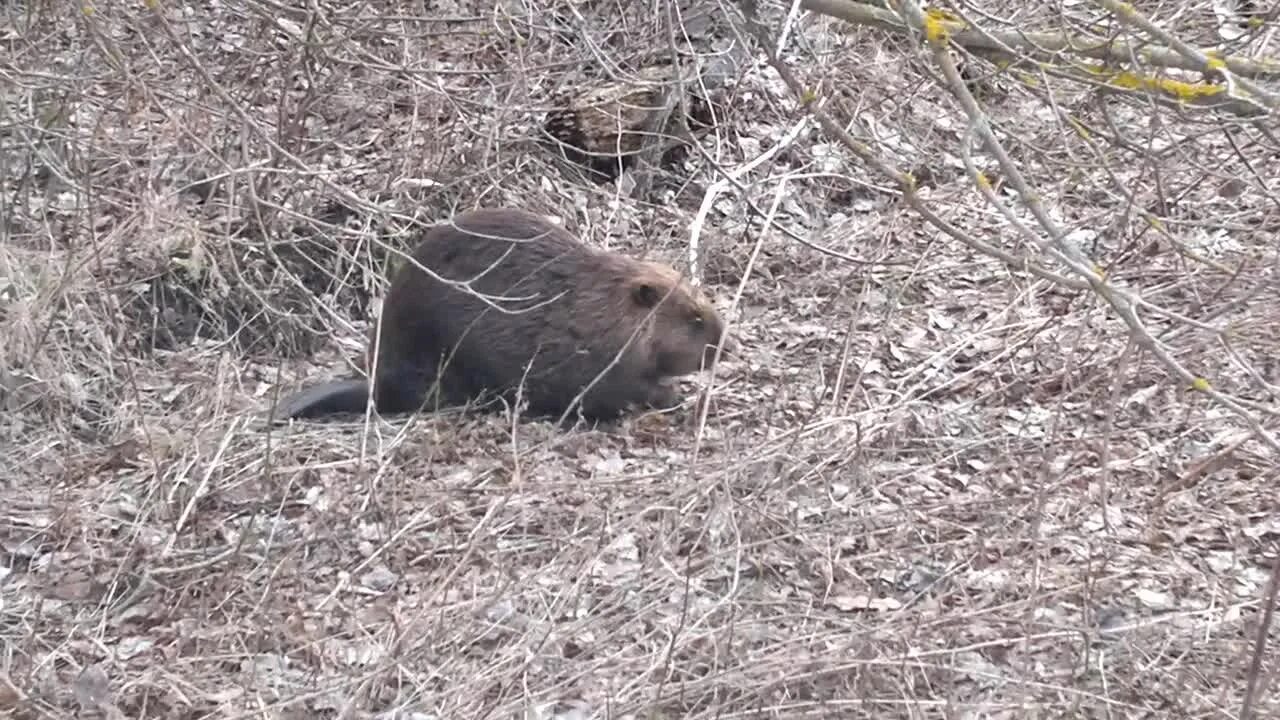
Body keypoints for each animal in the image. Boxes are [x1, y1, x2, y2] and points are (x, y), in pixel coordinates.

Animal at [273, 206, 727, 420]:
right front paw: (673, 394)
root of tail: (374, 383)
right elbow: (621, 390)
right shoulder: (596, 359)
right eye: (695, 319)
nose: (722, 342)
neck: (601, 307)